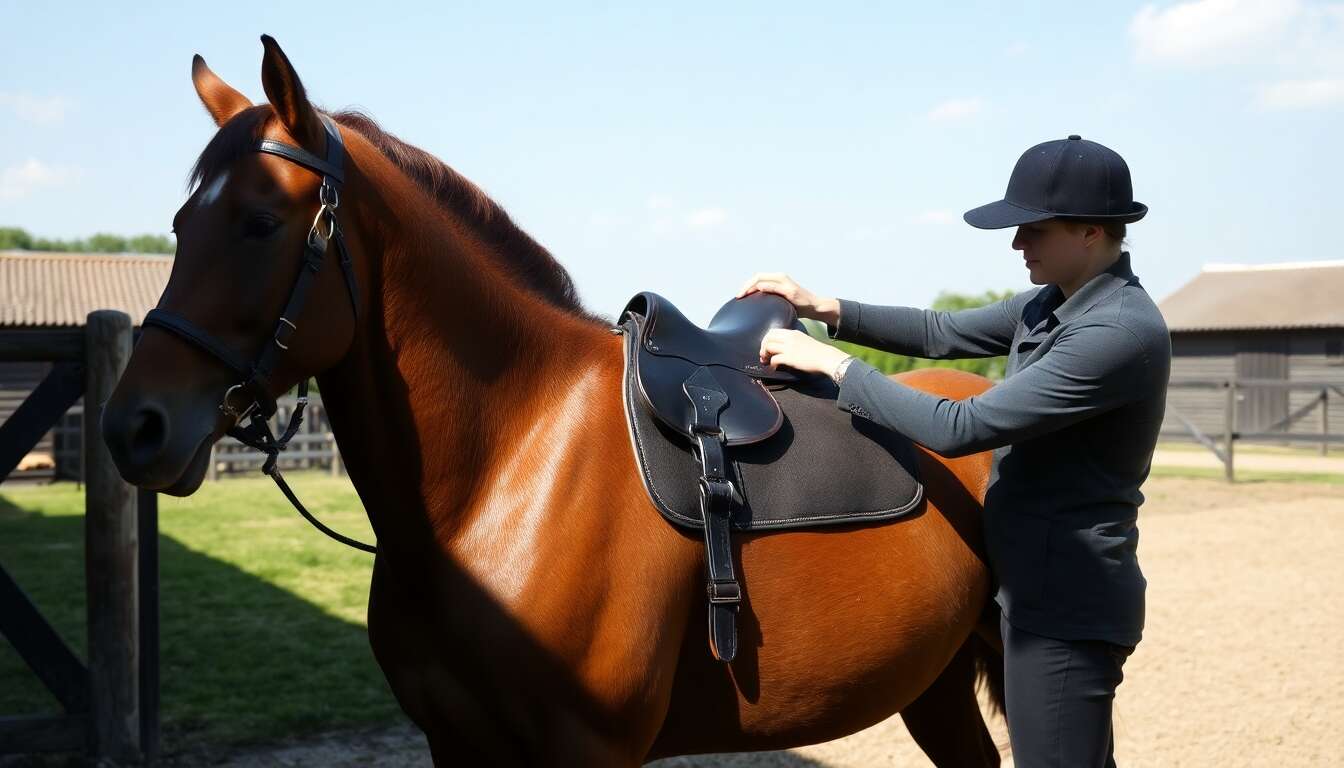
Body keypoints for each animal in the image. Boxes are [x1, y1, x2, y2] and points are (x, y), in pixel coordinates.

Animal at [101, 36, 1005, 766]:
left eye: (259, 222)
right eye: (180, 224)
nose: (132, 426)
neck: (507, 470)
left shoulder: (586, 747)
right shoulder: (455, 742)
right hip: (937, 684)